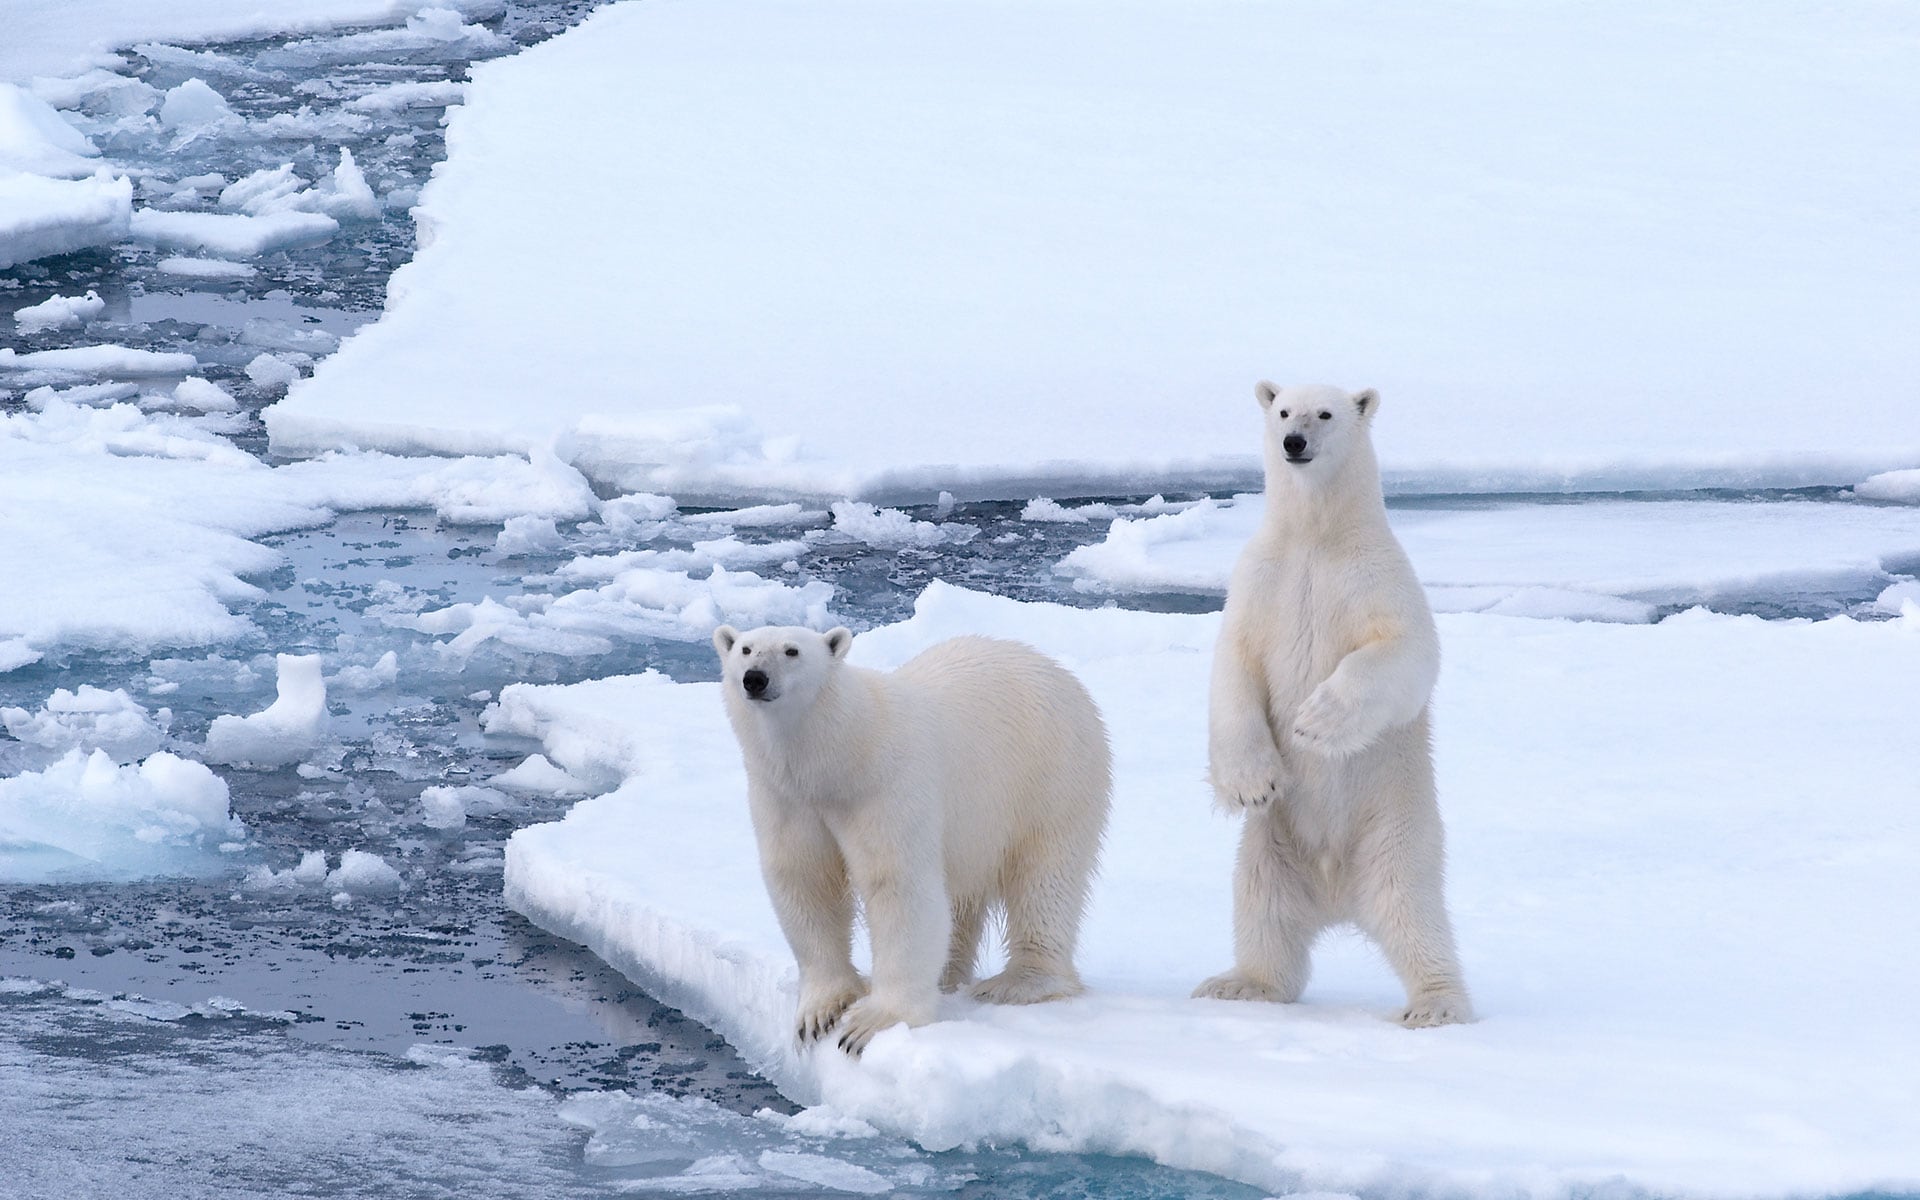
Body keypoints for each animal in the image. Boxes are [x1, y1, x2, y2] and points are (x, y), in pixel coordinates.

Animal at [718, 622, 1113, 1052]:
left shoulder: (886, 786)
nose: (755, 678)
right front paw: (821, 1012)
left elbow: (897, 885)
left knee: (1045, 877)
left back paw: (1019, 982)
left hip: (1051, 776)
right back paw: (948, 976)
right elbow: (805, 881)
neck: (841, 756)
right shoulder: (786, 799)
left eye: (792, 651)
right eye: (745, 649)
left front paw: (871, 1022)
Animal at [1190, 378, 1474, 1021]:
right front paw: (1252, 783)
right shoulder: (1259, 580)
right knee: (1262, 911)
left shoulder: (1377, 577)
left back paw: (1435, 1003)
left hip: (1395, 834)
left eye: (1325, 414)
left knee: (1413, 914)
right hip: (1269, 848)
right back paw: (1240, 983)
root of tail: (1336, 893)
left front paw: (1317, 721)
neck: (1316, 539)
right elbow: (1233, 666)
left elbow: (1407, 650)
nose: (1294, 442)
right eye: (1282, 411)